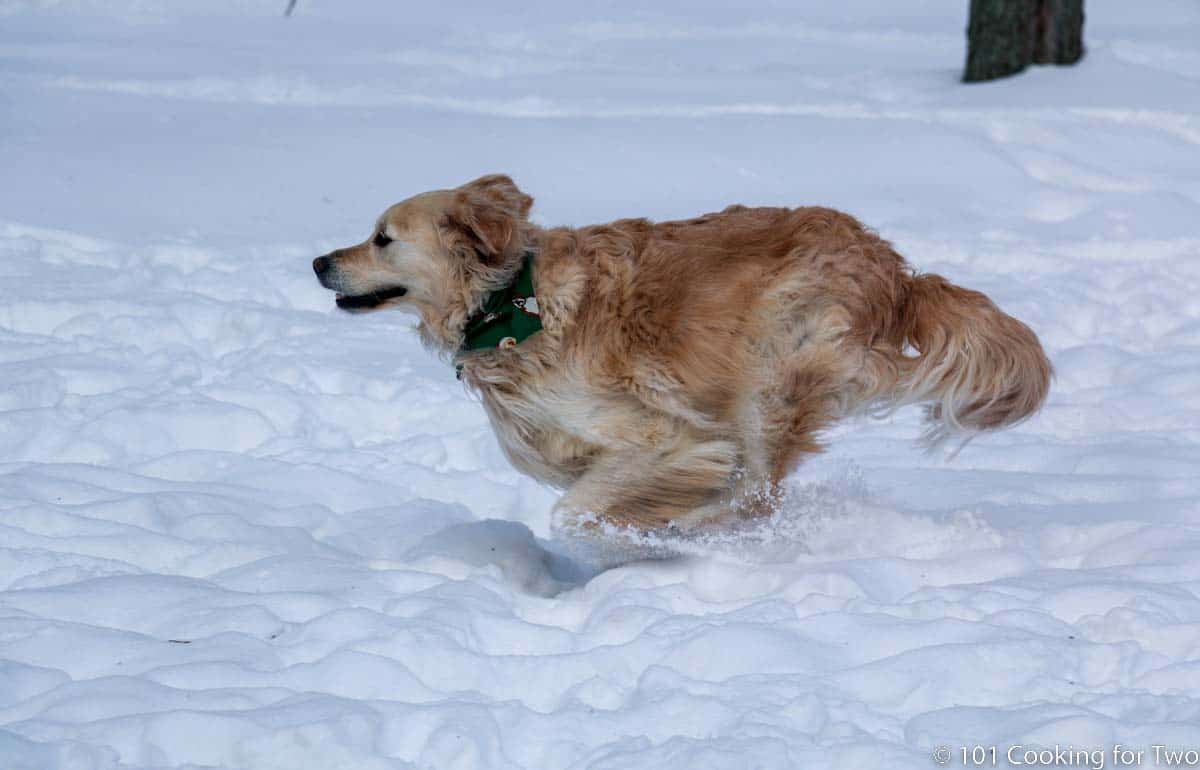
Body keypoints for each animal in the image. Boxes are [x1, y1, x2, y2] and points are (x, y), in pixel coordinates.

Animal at [312, 175, 1051, 532]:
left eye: (382, 238)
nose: (318, 262)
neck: (514, 306)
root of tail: (897, 272)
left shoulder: (664, 435)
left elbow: (578, 511)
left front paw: (642, 533)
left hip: (769, 367)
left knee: (758, 496)